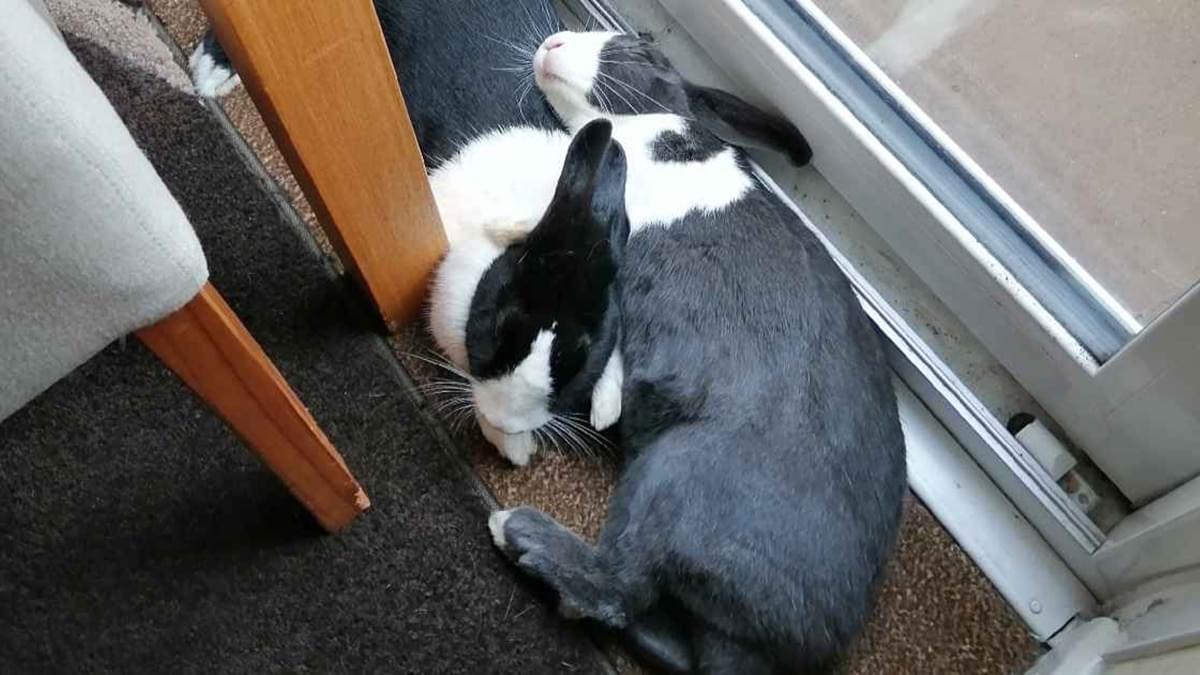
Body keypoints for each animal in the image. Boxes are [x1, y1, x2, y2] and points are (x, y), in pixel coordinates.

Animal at [480, 31, 905, 675]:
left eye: (641, 53)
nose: (553, 42)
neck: (656, 127)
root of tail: (760, 647)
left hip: (672, 471)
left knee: (618, 585)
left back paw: (518, 530)